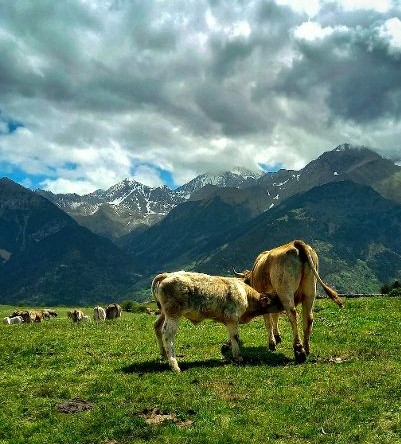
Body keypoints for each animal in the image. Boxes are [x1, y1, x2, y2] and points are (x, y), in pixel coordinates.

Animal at [152, 270, 282, 372]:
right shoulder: (232, 316)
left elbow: (231, 336)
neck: (246, 295)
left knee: (157, 326)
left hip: (164, 312)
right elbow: (235, 336)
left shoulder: (230, 320)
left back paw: (164, 354)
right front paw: (238, 357)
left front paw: (226, 347)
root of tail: (167, 275)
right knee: (168, 334)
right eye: (276, 300)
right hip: (173, 313)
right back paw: (174, 365)